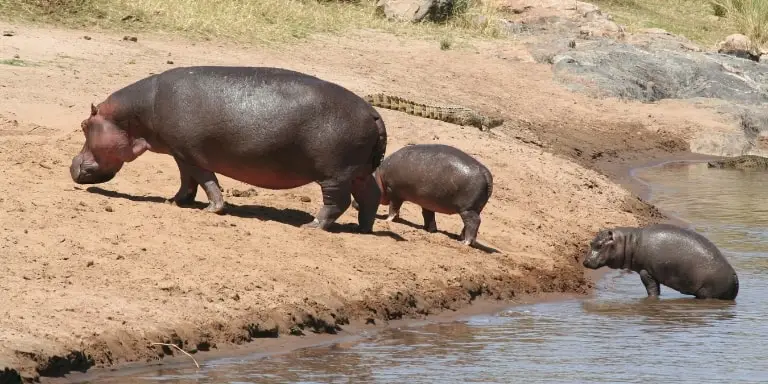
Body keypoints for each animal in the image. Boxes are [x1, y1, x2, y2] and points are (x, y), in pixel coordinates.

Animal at [69, 65, 388, 232]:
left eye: (84, 125)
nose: (72, 166)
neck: (133, 116)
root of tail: (374, 112)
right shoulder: (180, 153)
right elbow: (187, 181)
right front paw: (175, 202)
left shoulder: (190, 154)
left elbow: (206, 180)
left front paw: (213, 209)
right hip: (357, 172)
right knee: (369, 195)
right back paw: (364, 228)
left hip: (335, 175)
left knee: (337, 202)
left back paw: (311, 225)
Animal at [584, 224, 740, 302]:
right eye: (591, 242)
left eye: (600, 245)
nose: (585, 261)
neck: (630, 242)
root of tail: (734, 276)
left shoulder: (646, 272)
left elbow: (652, 289)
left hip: (707, 293)